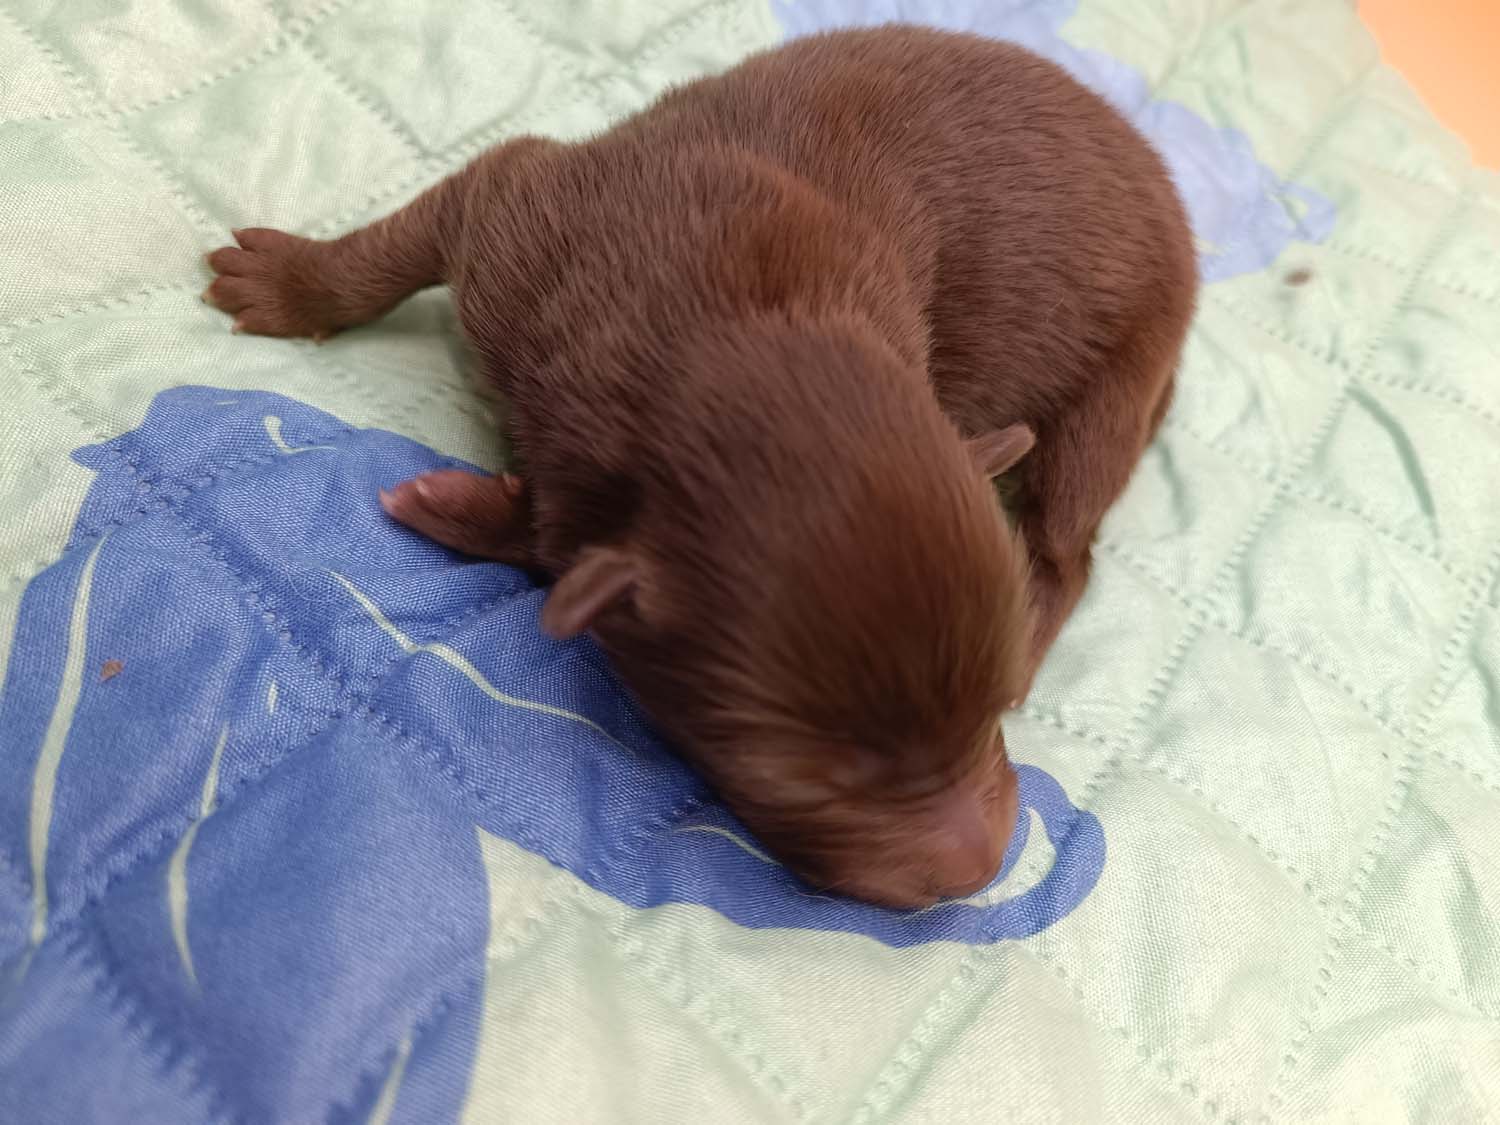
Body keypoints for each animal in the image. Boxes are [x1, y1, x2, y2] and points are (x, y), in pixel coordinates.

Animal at [204, 27, 1196, 907]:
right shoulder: (516, 215)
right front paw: (295, 281)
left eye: (986, 705)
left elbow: (554, 544)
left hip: (1116, 384)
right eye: (798, 782)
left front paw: (456, 506)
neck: (728, 324)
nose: (982, 871)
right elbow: (402, 246)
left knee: (1067, 548)